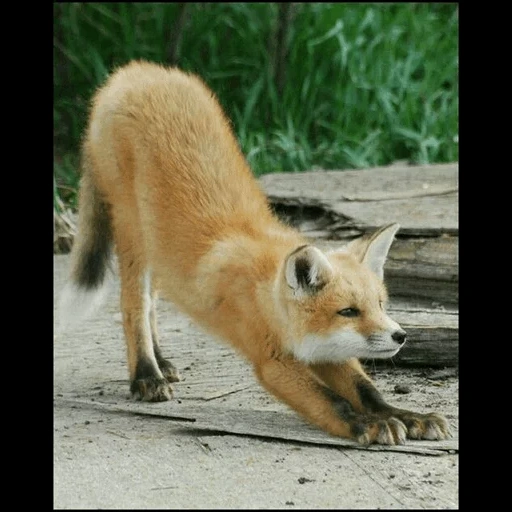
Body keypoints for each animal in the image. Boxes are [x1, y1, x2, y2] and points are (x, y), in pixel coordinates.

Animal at [60, 59, 450, 444]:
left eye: (380, 305)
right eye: (349, 311)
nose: (400, 336)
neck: (265, 297)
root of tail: (132, 71)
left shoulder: (324, 349)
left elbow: (366, 391)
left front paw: (408, 417)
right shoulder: (272, 362)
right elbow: (335, 402)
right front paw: (371, 425)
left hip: (156, 245)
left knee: (154, 301)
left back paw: (161, 361)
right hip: (132, 233)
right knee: (134, 306)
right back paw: (146, 374)